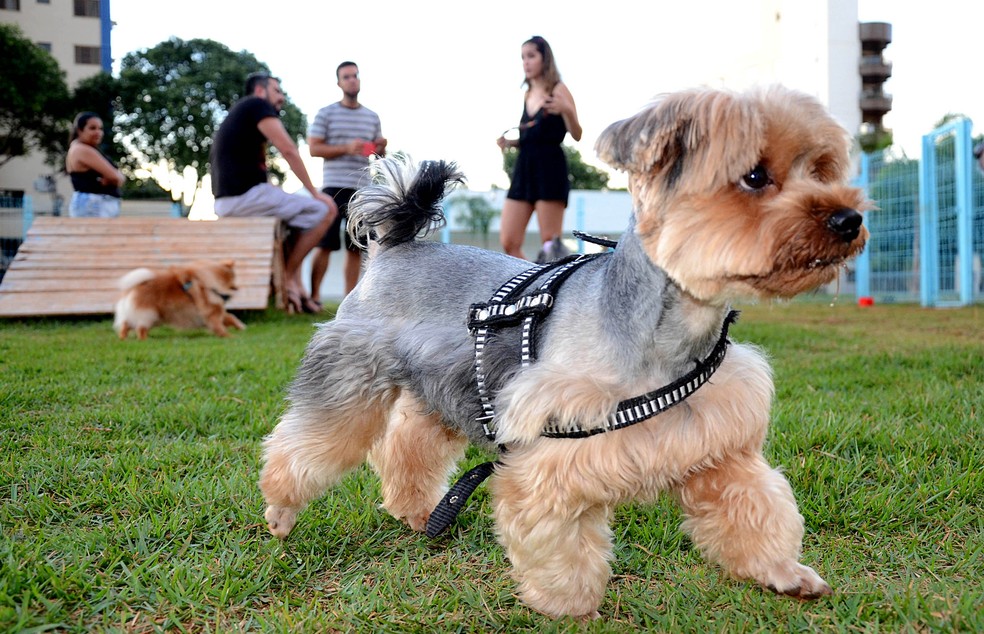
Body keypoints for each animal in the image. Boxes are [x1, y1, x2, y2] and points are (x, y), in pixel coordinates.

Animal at [114, 258, 246, 340]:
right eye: (234, 277)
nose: (238, 287)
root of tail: (135, 286)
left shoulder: (216, 311)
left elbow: (231, 317)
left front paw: (241, 327)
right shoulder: (212, 312)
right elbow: (220, 326)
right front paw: (229, 336)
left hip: (147, 316)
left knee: (126, 325)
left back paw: (123, 338)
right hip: (149, 314)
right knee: (140, 328)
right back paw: (144, 339)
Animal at [260, 86, 868, 616]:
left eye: (821, 169)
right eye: (755, 176)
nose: (851, 219)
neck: (667, 332)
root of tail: (394, 246)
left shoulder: (719, 449)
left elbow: (759, 507)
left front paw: (784, 573)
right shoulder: (551, 459)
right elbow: (560, 544)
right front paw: (568, 606)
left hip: (441, 390)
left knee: (408, 445)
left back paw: (416, 512)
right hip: (348, 382)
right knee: (306, 444)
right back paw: (281, 511)